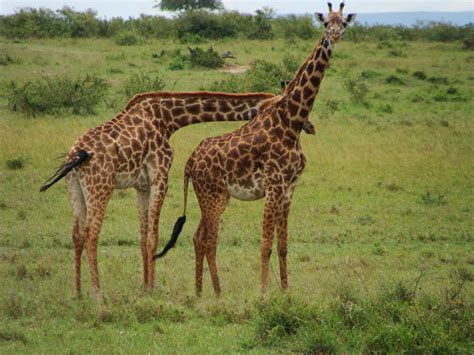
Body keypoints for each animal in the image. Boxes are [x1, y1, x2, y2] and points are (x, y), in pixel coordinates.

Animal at [155, 3, 356, 298]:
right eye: (325, 23)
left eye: (344, 23)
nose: (335, 36)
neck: (291, 121)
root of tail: (190, 163)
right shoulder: (273, 186)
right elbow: (265, 244)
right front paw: (262, 293)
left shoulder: (289, 188)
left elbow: (282, 245)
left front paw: (285, 291)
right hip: (212, 196)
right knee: (208, 239)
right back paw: (218, 294)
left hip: (217, 197)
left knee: (197, 236)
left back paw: (201, 292)